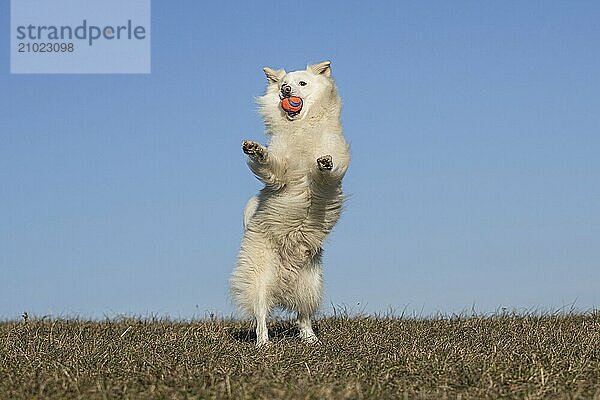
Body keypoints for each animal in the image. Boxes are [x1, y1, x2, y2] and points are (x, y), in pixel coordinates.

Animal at [231, 61, 352, 346]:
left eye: (301, 84)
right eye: (283, 85)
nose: (285, 91)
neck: (301, 127)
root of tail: (285, 277)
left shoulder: (334, 169)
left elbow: (328, 171)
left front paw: (324, 163)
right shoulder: (282, 171)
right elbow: (273, 165)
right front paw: (256, 150)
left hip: (311, 282)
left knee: (303, 316)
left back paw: (311, 339)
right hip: (259, 275)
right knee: (261, 314)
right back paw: (263, 343)